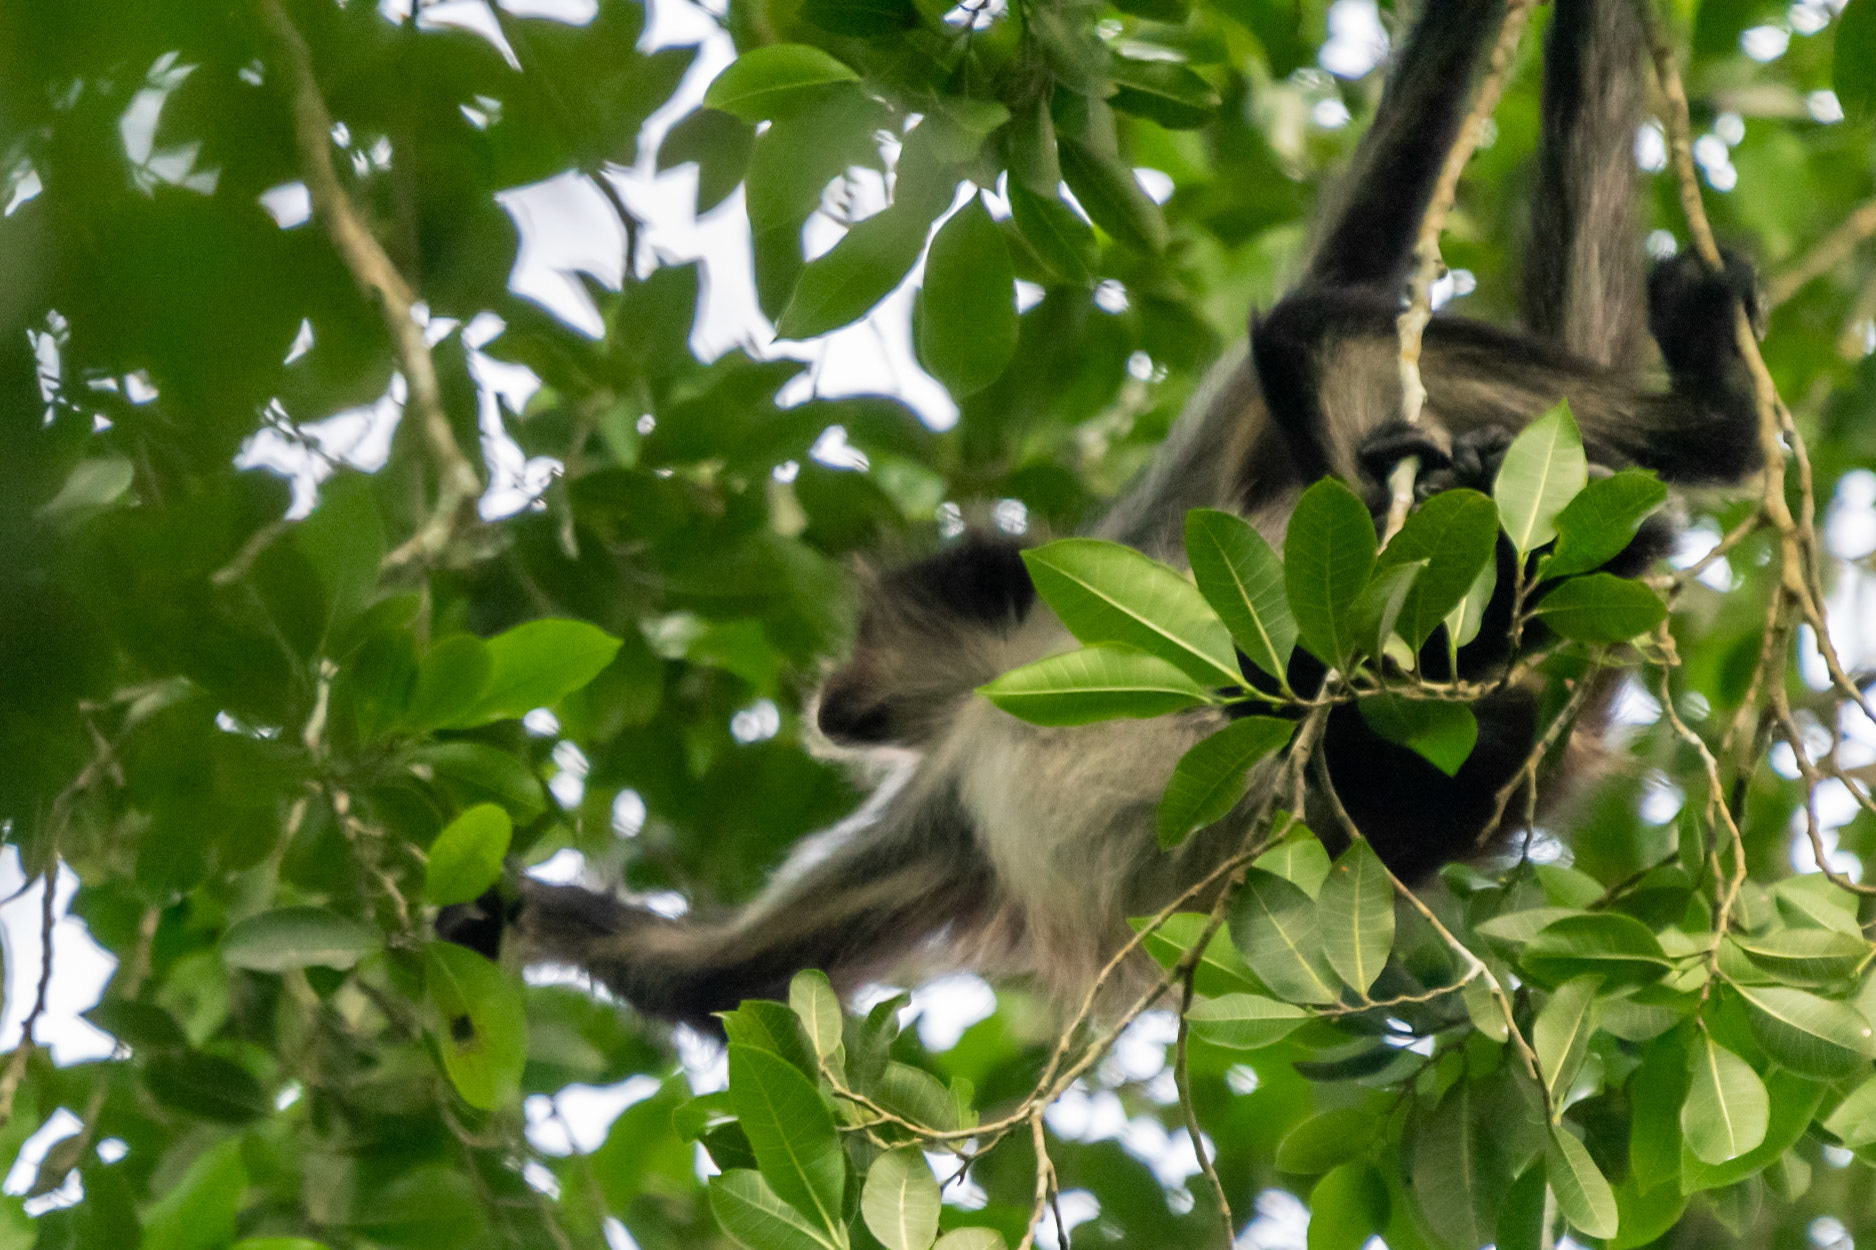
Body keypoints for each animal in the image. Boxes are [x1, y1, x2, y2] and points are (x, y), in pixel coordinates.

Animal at [439, 0, 1762, 1029]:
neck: (1016, 663)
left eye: (861, 639)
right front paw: (497, 908)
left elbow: (1364, 226)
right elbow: (720, 977)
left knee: (1312, 336)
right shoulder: (948, 794)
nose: (827, 699)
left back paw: (1706, 430)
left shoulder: (1146, 531)